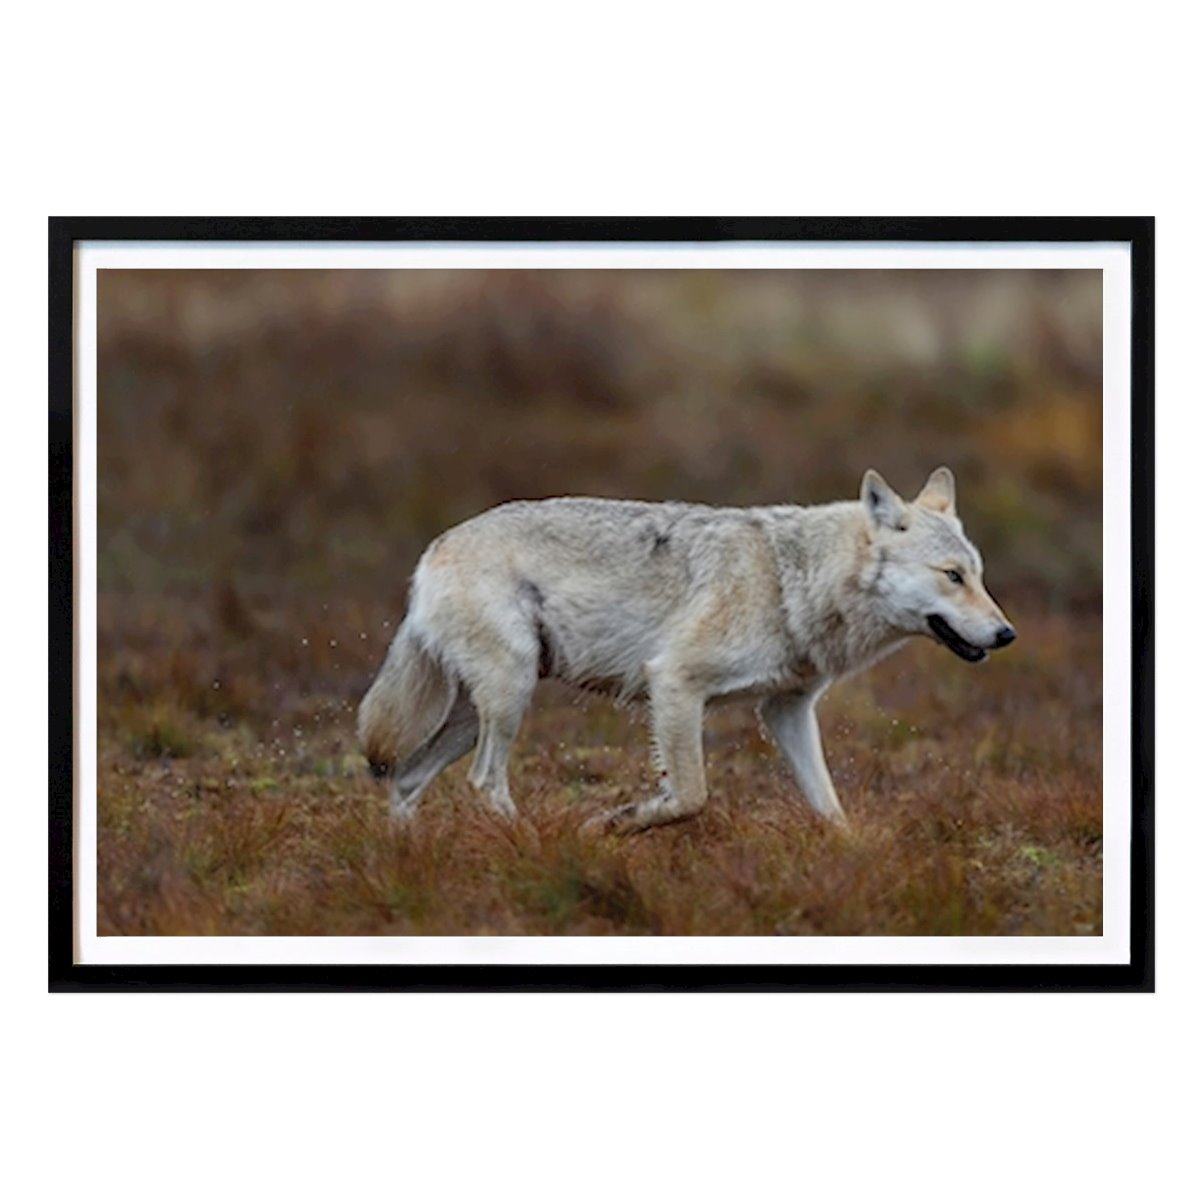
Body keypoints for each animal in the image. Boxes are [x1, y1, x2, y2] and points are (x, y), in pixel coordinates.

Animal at [352, 468, 1012, 835]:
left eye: (980, 576)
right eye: (952, 575)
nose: (1007, 635)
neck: (790, 581)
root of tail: (433, 549)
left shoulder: (787, 710)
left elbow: (831, 810)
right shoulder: (674, 683)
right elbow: (690, 797)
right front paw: (611, 825)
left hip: (480, 712)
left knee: (405, 781)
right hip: (509, 700)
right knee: (484, 782)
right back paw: (537, 846)